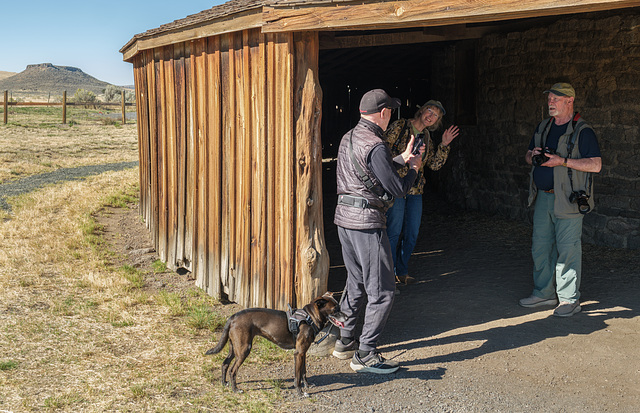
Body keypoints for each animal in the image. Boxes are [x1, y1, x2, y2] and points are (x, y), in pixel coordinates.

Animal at [205, 292, 344, 398]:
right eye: (335, 310)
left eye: (339, 308)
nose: (347, 317)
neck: (310, 317)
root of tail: (233, 317)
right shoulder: (298, 353)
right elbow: (297, 376)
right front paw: (300, 392)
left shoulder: (303, 353)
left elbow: (304, 372)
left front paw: (308, 385)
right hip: (244, 349)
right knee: (233, 370)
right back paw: (236, 389)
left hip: (234, 348)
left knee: (225, 364)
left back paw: (224, 383)